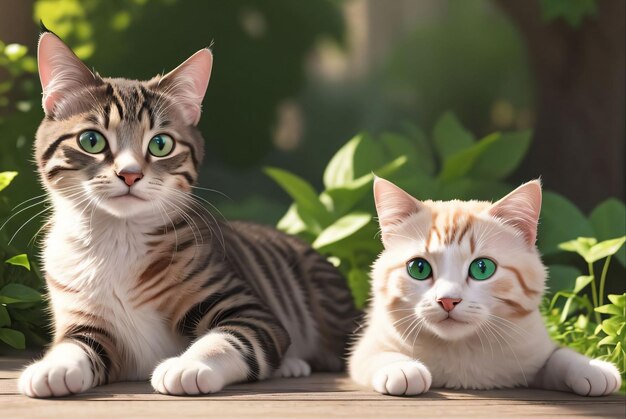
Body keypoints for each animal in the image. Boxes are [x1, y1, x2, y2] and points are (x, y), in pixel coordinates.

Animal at [18, 28, 356, 398]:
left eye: (160, 144)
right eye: (91, 140)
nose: (130, 174)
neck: (118, 238)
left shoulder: (247, 307)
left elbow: (232, 338)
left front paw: (188, 365)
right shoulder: (84, 318)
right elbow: (75, 344)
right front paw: (53, 366)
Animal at [346, 177, 620, 398]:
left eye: (482, 268)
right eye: (419, 268)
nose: (448, 300)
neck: (461, 349)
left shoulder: (535, 348)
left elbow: (559, 355)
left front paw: (594, 368)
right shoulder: (367, 346)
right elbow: (377, 355)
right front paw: (403, 368)